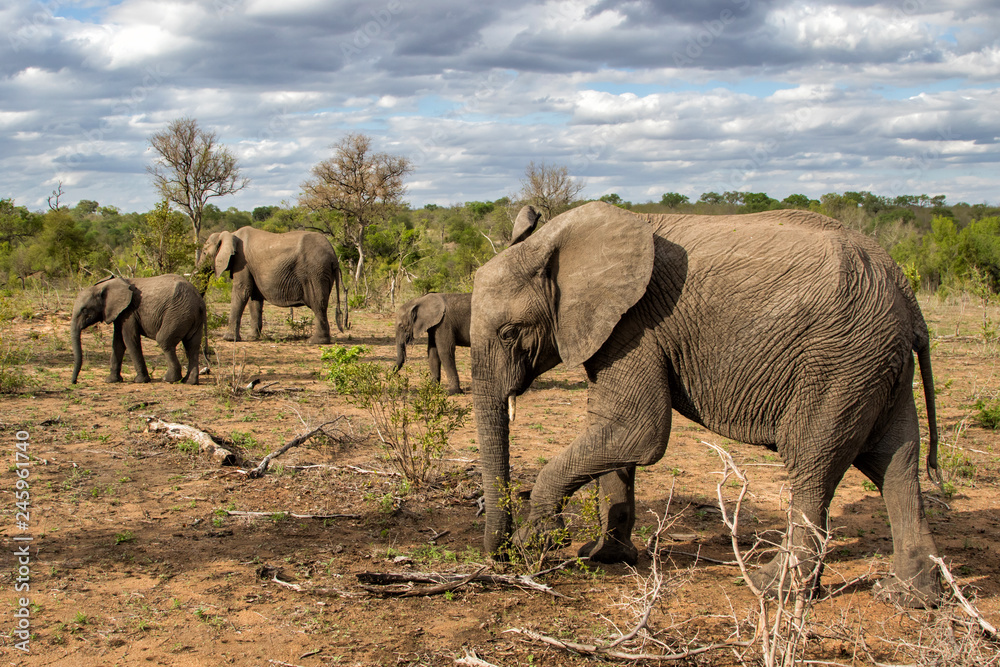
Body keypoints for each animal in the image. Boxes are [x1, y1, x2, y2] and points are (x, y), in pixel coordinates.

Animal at [70, 274, 206, 385]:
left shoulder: (129, 312)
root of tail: (199, 301)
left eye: (84, 310)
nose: (74, 381)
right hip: (190, 316)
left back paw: (169, 379)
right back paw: (189, 381)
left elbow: (129, 339)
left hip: (177, 313)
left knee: (164, 341)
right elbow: (118, 343)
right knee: (192, 346)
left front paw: (140, 380)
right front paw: (111, 380)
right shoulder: (120, 314)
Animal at [200, 228, 345, 344]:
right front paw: (252, 337)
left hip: (315, 272)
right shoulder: (250, 268)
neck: (230, 234)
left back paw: (314, 342)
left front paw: (229, 339)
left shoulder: (242, 262)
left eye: (204, 253)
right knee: (320, 304)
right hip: (321, 272)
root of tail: (333, 255)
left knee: (317, 304)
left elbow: (242, 291)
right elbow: (254, 298)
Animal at [471, 201, 942, 607]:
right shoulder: (615, 330)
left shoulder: (637, 325)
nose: (501, 556)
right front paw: (604, 555)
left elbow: (637, 432)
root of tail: (906, 293)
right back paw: (909, 596)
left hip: (840, 361)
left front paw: (539, 540)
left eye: (510, 333)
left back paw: (772, 589)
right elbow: (610, 434)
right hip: (875, 364)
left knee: (814, 464)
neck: (557, 242)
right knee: (896, 464)